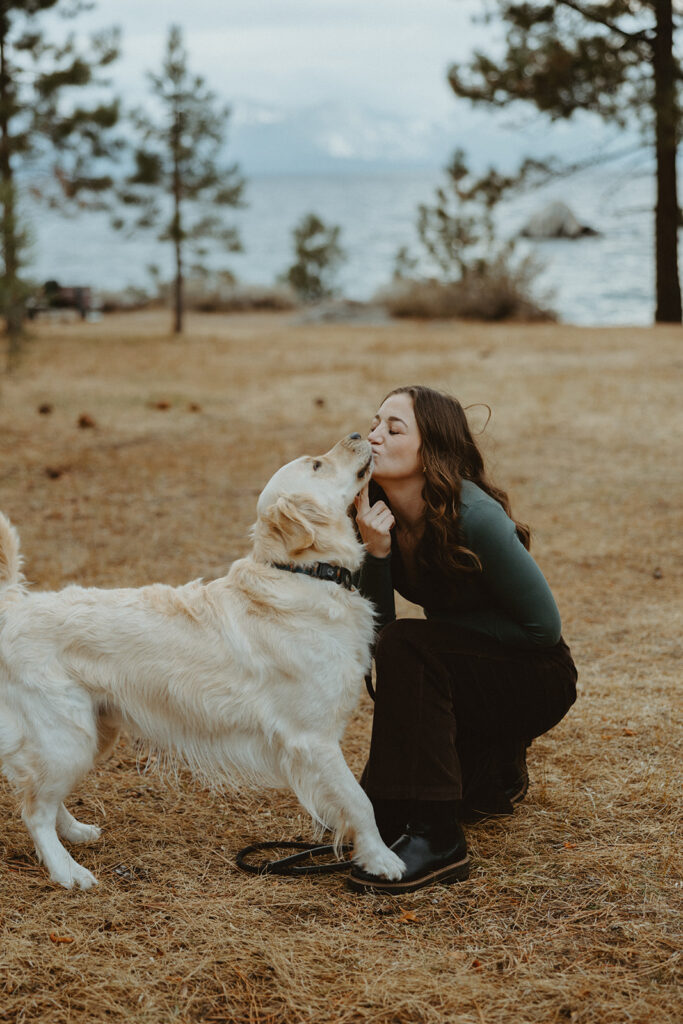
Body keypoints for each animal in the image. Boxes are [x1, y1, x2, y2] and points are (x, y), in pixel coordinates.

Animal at [0, 432, 405, 888]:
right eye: (316, 465)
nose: (357, 435)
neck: (303, 573)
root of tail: (14, 605)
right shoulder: (314, 739)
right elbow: (360, 801)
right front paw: (381, 859)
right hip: (66, 736)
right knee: (34, 811)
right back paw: (68, 871)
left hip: (92, 733)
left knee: (47, 799)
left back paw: (75, 832)